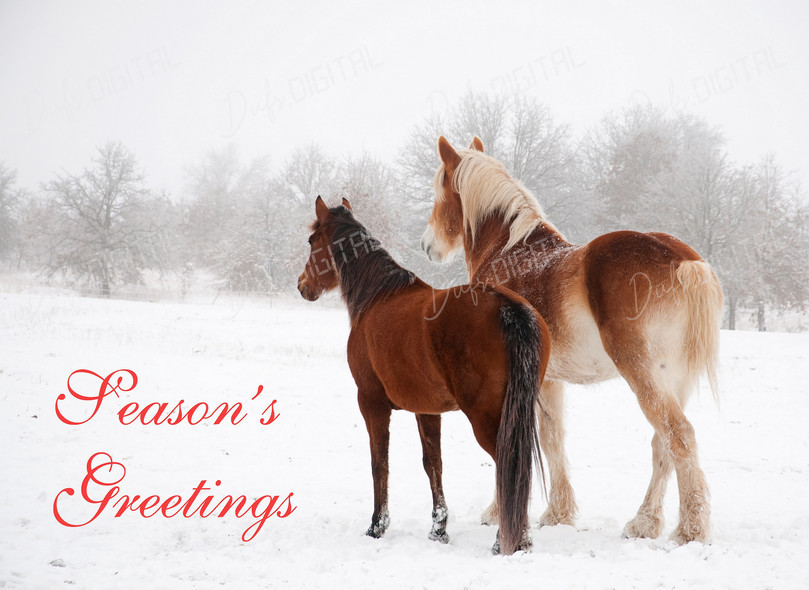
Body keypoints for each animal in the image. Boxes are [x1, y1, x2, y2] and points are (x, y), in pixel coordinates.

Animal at [297, 196, 550, 555]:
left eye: (311, 241)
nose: (303, 286)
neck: (377, 297)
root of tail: (507, 307)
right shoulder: (427, 410)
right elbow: (433, 464)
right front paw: (438, 529)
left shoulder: (371, 403)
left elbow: (379, 463)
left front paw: (377, 526)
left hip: (487, 417)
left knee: (508, 465)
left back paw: (508, 541)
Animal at [420, 136, 724, 545]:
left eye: (439, 192)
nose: (427, 245)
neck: (510, 253)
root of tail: (682, 261)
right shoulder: (549, 380)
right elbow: (553, 440)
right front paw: (558, 514)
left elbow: (510, 439)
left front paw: (499, 512)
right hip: (674, 380)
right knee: (662, 445)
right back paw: (645, 523)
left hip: (644, 375)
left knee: (679, 437)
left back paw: (689, 530)